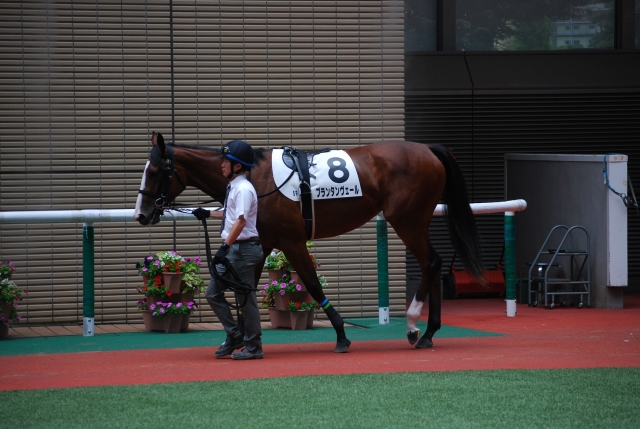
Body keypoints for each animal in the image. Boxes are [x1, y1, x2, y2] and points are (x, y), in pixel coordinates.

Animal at [134, 132, 484, 353]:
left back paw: (413, 326)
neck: (253, 177)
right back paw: (428, 332)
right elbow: (243, 288)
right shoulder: (263, 242)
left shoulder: (291, 241)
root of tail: (428, 150)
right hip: (415, 222)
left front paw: (341, 335)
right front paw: (238, 340)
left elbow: (313, 286)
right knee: (433, 265)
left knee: (432, 262)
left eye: (155, 170)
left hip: (407, 221)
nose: (141, 214)